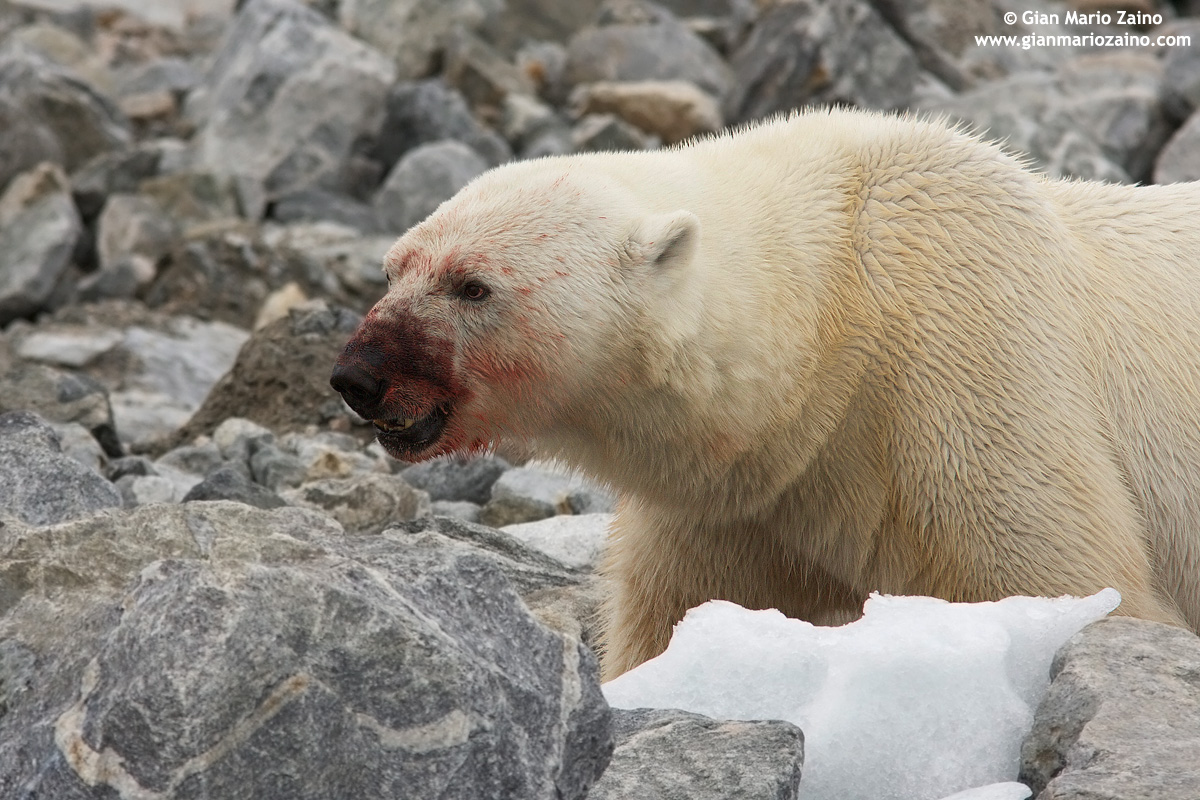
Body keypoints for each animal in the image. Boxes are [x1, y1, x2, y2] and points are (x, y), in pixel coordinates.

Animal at [331, 108, 1200, 679]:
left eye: (472, 285)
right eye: (394, 268)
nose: (358, 378)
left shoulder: (972, 368)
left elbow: (1070, 573)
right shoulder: (745, 501)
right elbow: (673, 618)